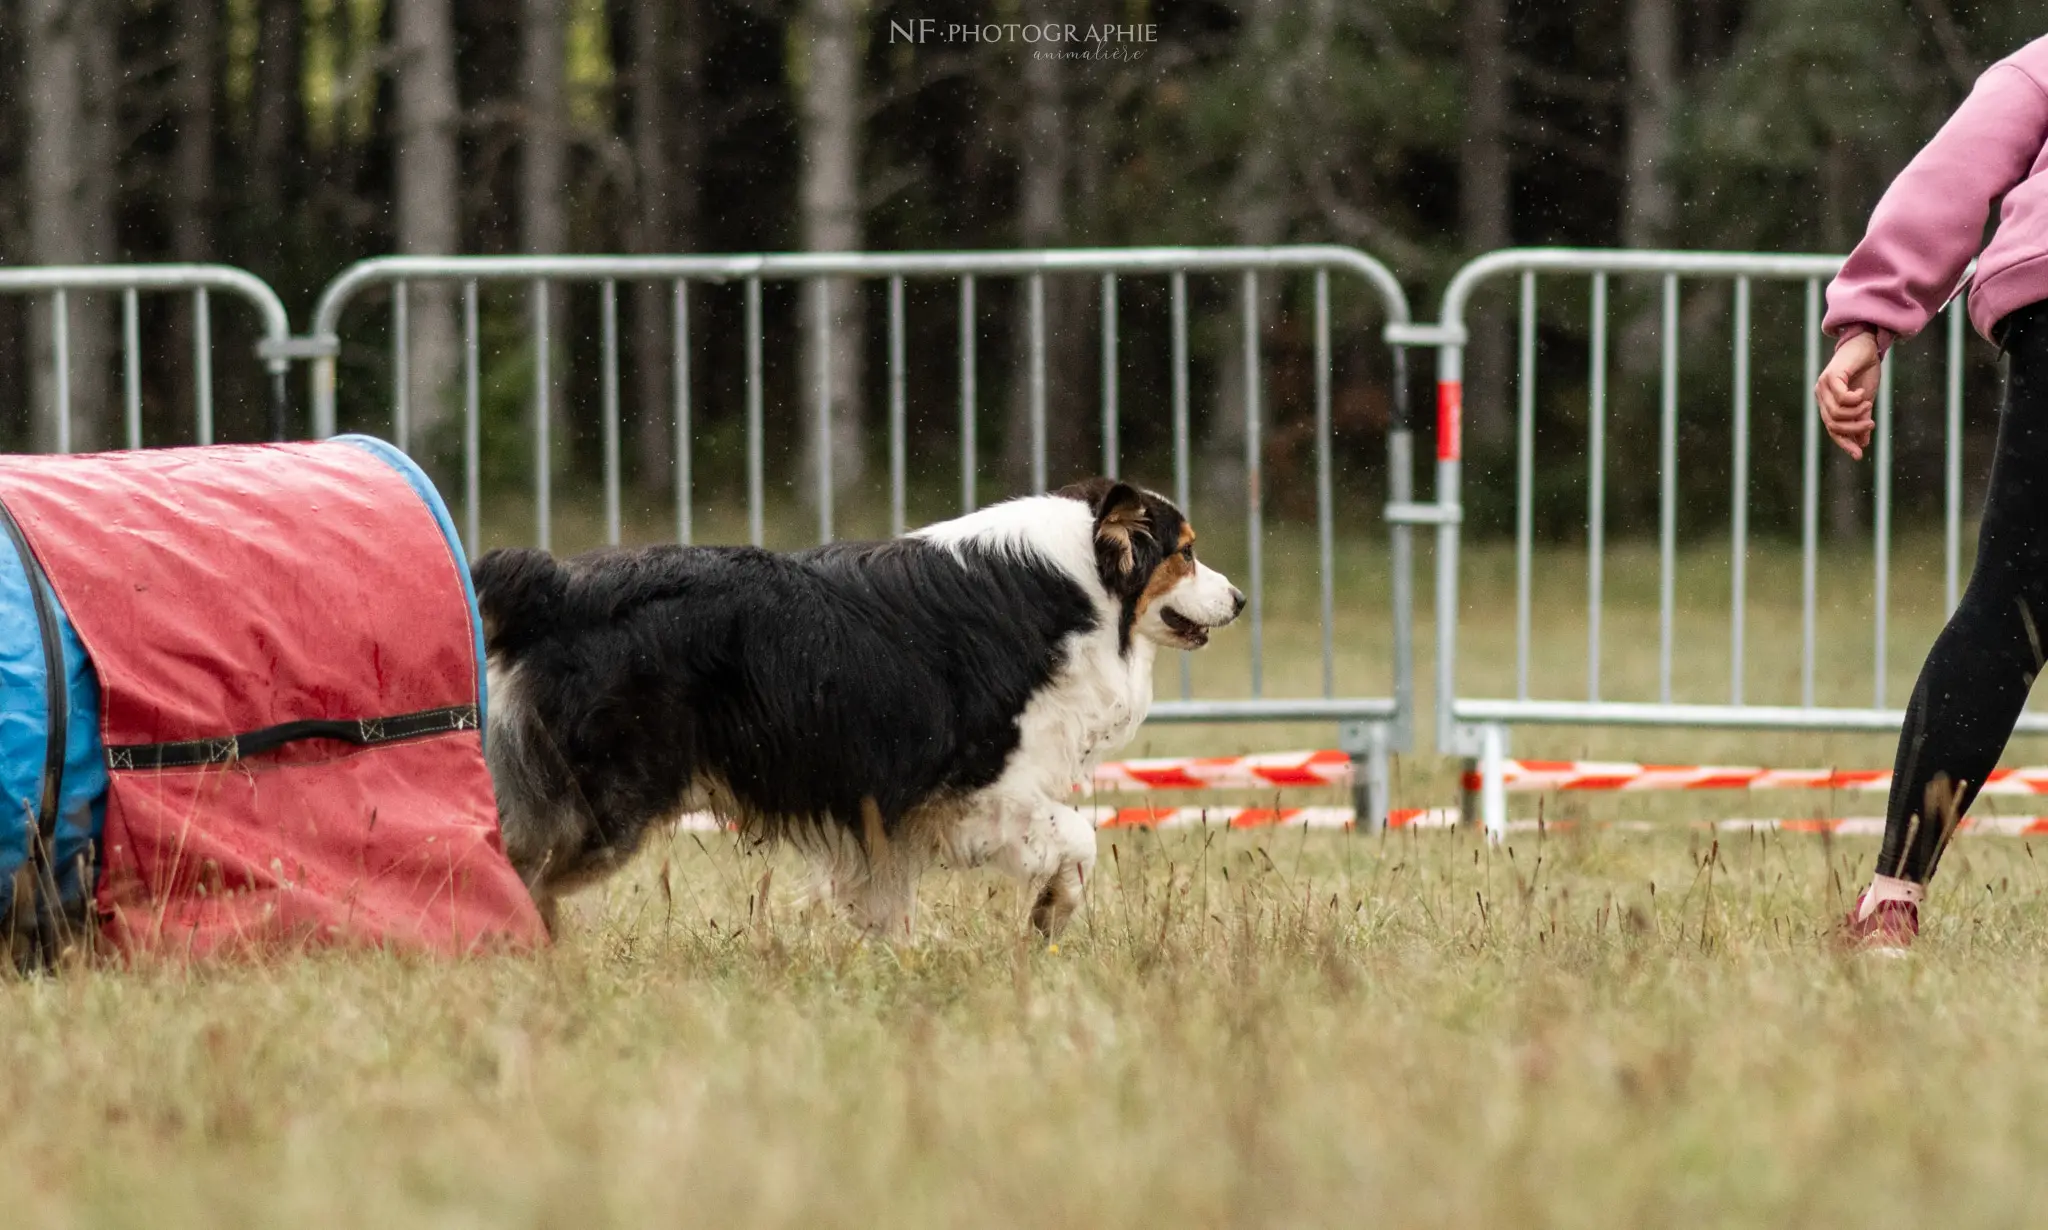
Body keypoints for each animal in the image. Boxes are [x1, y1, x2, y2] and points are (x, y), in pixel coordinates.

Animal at [475, 474, 1245, 937]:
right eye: (1185, 553)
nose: (1240, 599)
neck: (1077, 580)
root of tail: (555, 585)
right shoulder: (979, 788)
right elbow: (1078, 839)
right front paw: (1052, 913)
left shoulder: (890, 811)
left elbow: (884, 902)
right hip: (607, 797)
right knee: (520, 863)